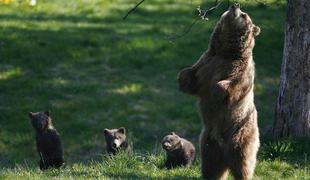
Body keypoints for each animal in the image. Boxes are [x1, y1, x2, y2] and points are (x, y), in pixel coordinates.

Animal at [178, 3, 260, 180]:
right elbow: (193, 77)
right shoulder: (207, 63)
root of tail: (225, 156)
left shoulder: (240, 70)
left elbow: (233, 85)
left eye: (244, 15)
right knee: (211, 167)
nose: (235, 4)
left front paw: (217, 89)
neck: (226, 52)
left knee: (243, 162)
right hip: (209, 144)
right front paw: (182, 78)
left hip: (241, 133)